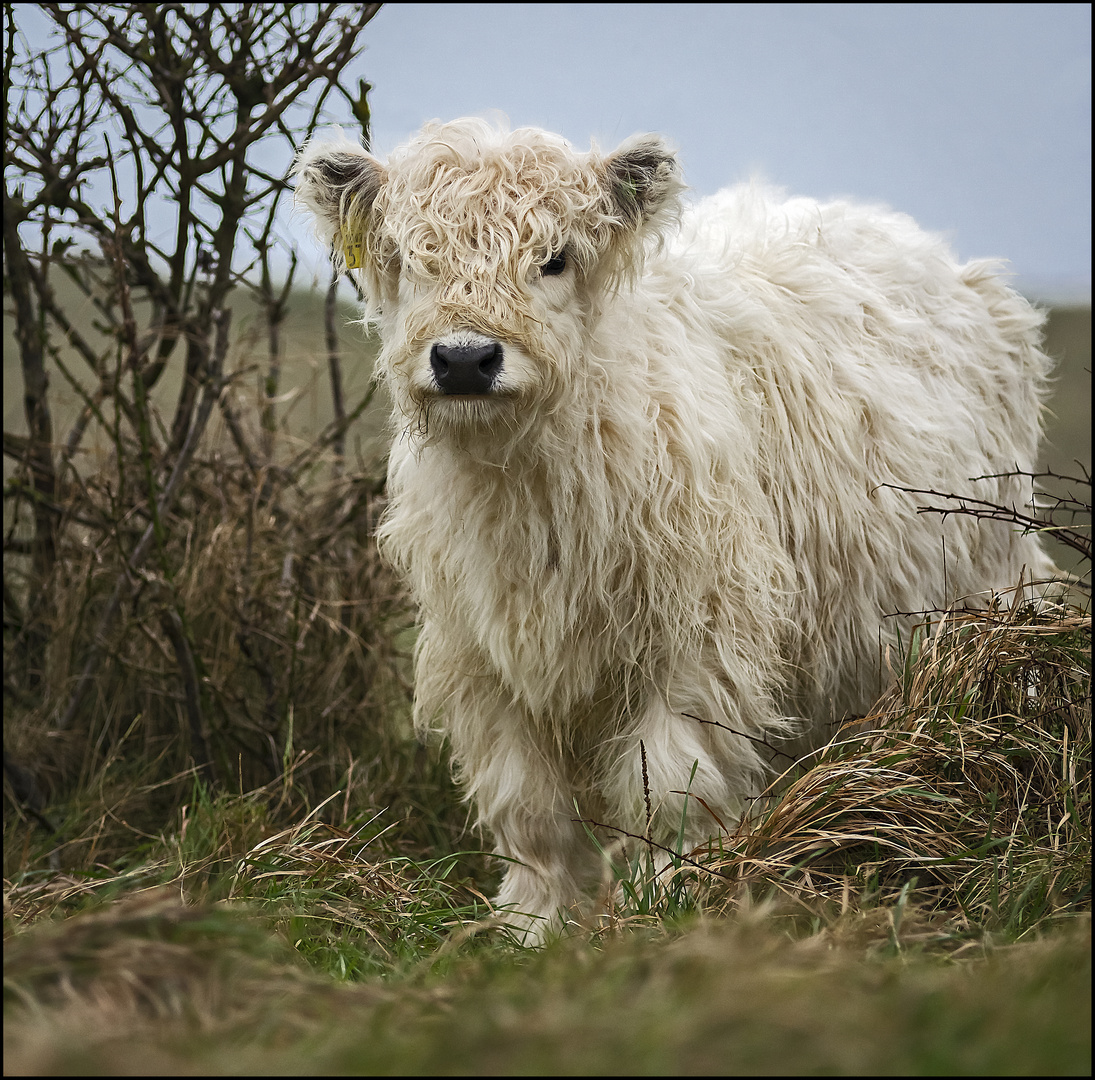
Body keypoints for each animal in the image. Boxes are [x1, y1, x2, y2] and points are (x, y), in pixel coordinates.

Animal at [295, 117, 1055, 937]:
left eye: (553, 258)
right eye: (411, 259)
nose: (465, 359)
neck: (529, 496)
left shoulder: (697, 639)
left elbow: (671, 784)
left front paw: (666, 904)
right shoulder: (481, 654)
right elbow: (527, 806)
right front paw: (531, 925)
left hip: (982, 587)